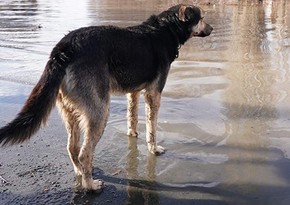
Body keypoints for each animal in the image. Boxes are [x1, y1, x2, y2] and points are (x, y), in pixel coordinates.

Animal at [0, 4, 213, 191]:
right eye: (202, 18)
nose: (212, 29)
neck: (167, 29)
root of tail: (63, 49)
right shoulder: (153, 93)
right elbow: (151, 128)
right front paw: (154, 149)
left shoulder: (133, 92)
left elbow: (132, 116)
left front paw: (132, 133)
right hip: (100, 111)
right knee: (85, 152)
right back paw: (90, 185)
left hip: (69, 111)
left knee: (71, 147)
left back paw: (80, 172)